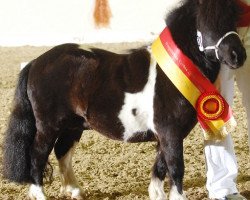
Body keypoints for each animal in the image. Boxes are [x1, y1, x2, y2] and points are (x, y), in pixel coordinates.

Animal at [2, 0, 247, 200]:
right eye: (206, 22)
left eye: (233, 18)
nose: (238, 55)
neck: (175, 71)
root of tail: (36, 62)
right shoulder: (170, 132)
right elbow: (175, 167)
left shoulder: (166, 134)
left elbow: (160, 165)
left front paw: (156, 194)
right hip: (48, 126)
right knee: (37, 155)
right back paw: (40, 194)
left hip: (72, 125)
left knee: (62, 152)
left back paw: (75, 191)